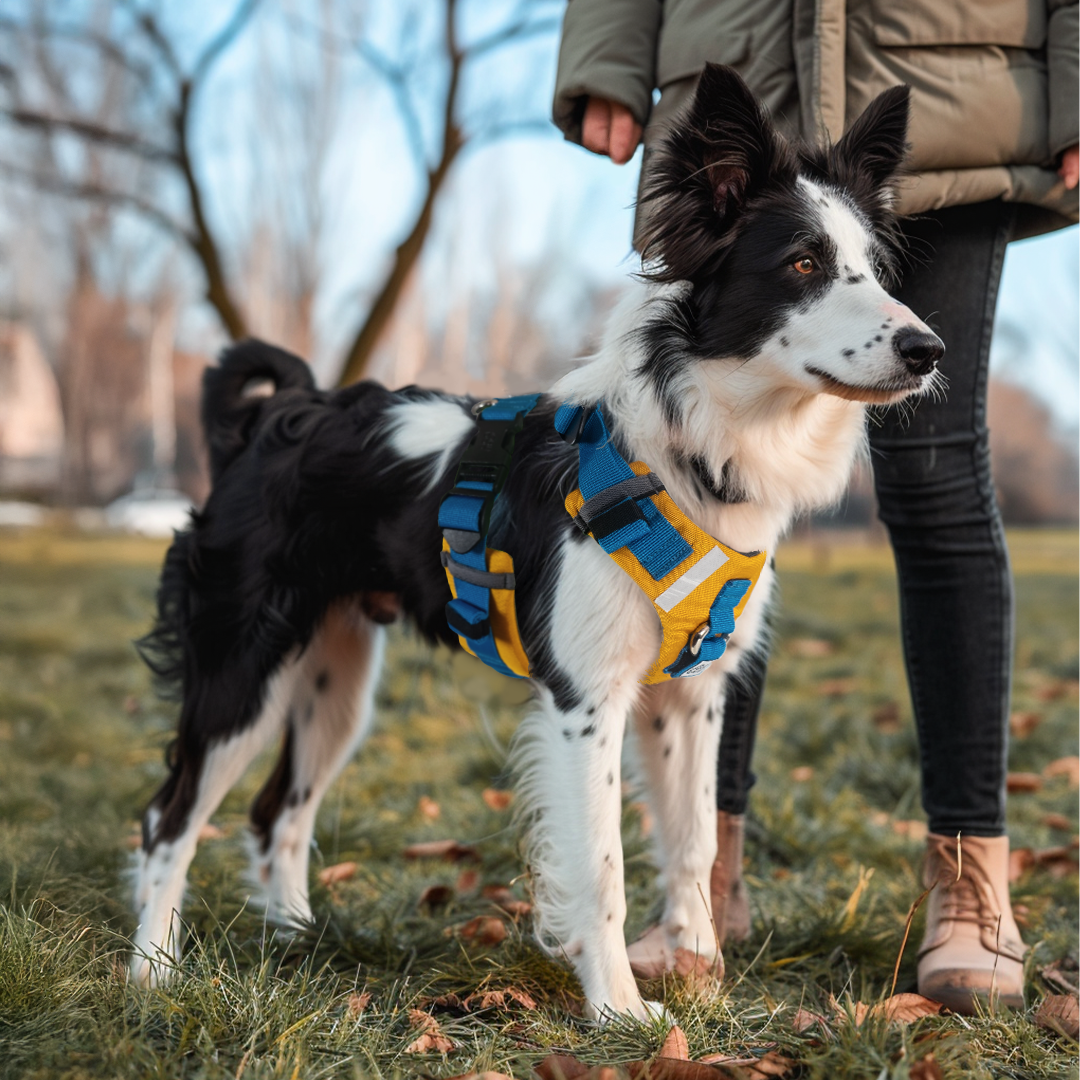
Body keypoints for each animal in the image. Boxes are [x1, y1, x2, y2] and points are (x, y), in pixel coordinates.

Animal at [132, 67, 946, 1019]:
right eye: (804, 265)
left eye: (876, 270)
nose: (928, 349)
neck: (692, 451)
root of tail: (278, 416)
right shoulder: (585, 701)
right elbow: (603, 866)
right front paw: (620, 1009)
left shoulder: (691, 697)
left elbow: (695, 843)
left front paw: (699, 975)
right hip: (242, 671)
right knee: (169, 818)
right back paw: (151, 972)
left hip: (337, 683)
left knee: (277, 813)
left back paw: (295, 938)